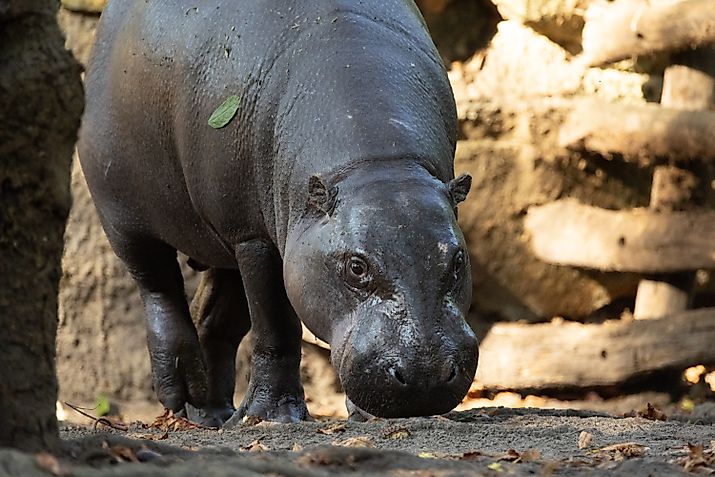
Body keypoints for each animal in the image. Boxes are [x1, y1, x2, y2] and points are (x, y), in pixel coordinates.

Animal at [78, 0, 478, 425]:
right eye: (356, 267)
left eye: (458, 261)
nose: (425, 375)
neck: (378, 166)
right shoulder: (253, 237)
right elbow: (274, 327)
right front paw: (272, 416)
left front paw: (364, 416)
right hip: (123, 213)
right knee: (158, 287)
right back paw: (182, 391)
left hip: (222, 241)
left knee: (213, 321)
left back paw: (214, 415)